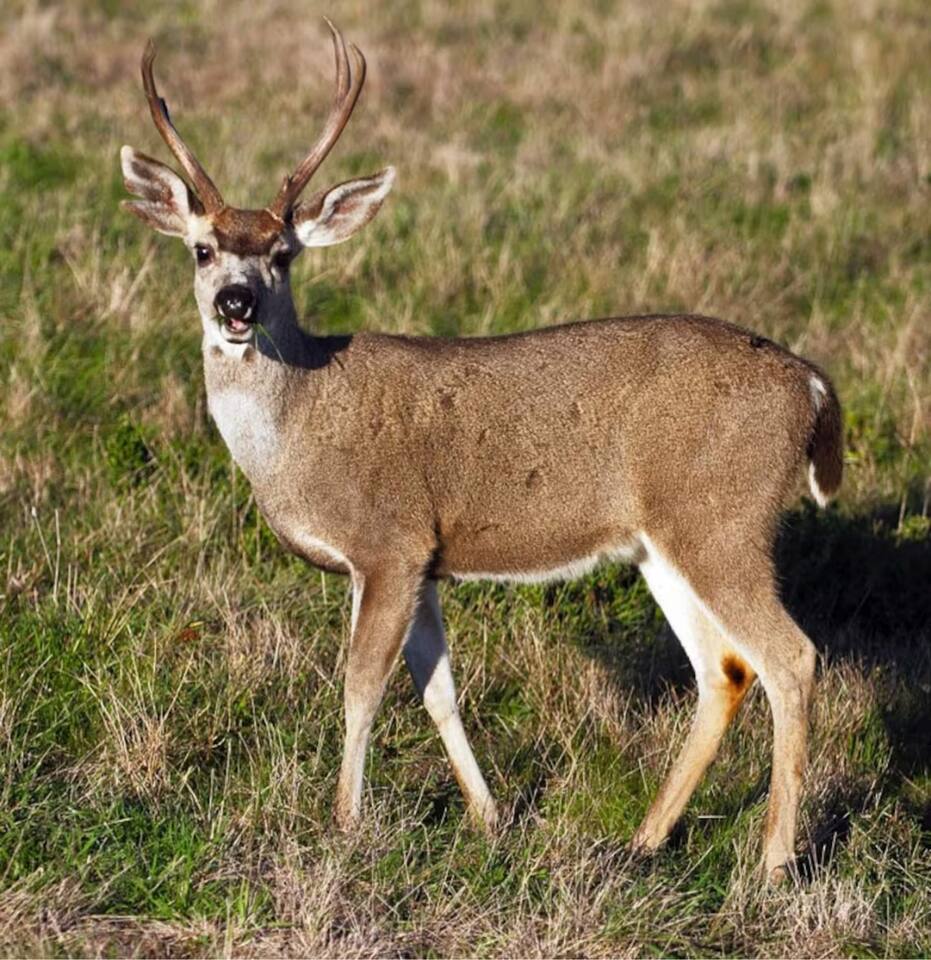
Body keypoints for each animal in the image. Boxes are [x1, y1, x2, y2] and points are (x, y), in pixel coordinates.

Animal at [120, 20, 843, 882]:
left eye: (283, 254)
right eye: (201, 249)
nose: (237, 304)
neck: (301, 425)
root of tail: (809, 384)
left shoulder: (389, 540)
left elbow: (361, 684)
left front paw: (344, 823)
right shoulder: (423, 559)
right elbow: (437, 688)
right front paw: (489, 816)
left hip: (722, 519)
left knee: (789, 657)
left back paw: (770, 863)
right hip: (664, 541)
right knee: (723, 671)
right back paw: (642, 839)